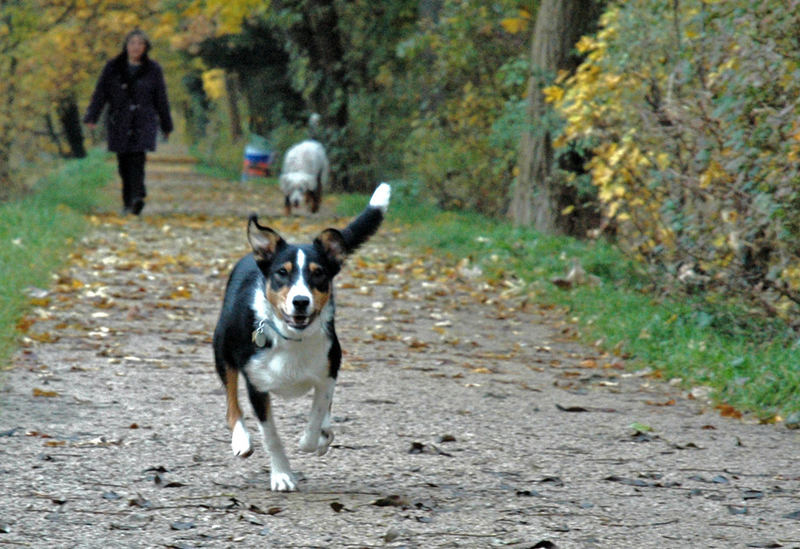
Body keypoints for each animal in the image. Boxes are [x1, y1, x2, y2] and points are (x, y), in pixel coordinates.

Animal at [211, 182, 390, 490]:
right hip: (222, 347)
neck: (290, 339)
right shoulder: (257, 385)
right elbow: (271, 436)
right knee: (231, 402)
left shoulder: (328, 371)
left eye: (318, 274)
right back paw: (241, 440)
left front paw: (315, 438)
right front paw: (282, 475)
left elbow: (317, 414)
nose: (300, 301)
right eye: (282, 273)